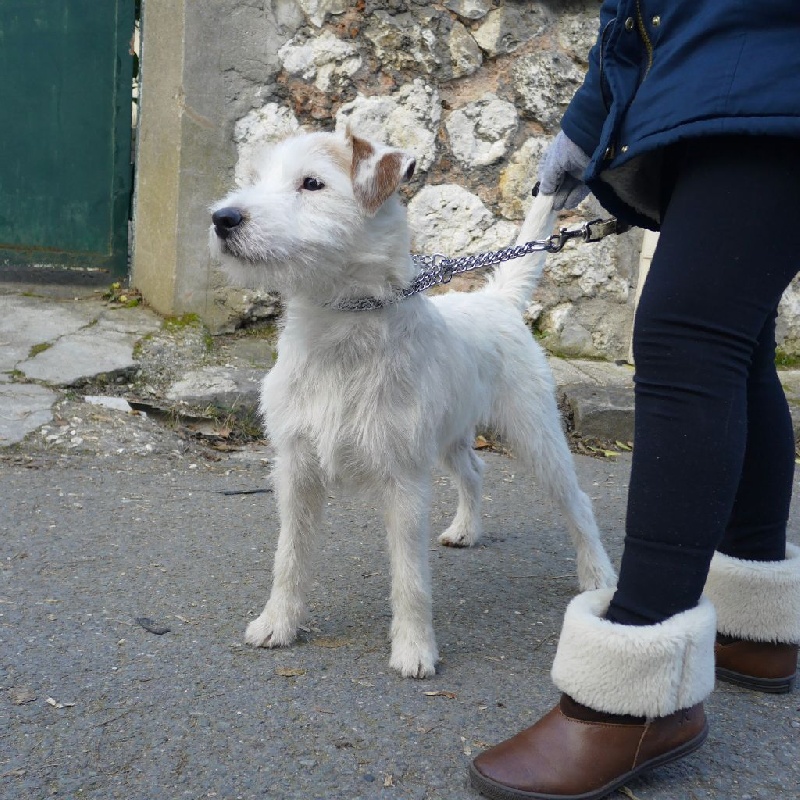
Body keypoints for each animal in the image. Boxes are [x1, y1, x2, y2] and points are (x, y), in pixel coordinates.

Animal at [209, 128, 616, 677]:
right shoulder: (296, 472)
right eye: (254, 178)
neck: (341, 328)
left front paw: (414, 649)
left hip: (537, 437)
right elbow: (288, 558)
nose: (223, 219)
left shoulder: (403, 481)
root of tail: (497, 300)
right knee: (474, 471)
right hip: (449, 438)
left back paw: (598, 575)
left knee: (578, 503)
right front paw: (277, 623)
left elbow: (410, 577)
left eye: (312, 183)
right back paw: (466, 529)